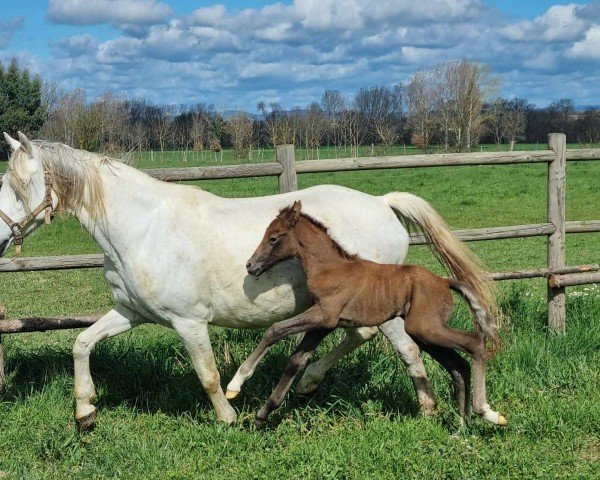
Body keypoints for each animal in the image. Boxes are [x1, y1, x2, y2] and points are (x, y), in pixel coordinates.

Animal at [227, 201, 508, 426]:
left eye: (274, 237)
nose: (251, 265)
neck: (329, 268)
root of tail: (444, 281)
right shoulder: (324, 324)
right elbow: (296, 360)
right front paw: (263, 414)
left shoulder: (325, 314)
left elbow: (274, 330)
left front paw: (235, 384)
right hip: (424, 332)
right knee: (458, 365)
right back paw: (462, 426)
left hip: (426, 328)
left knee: (475, 342)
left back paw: (486, 412)